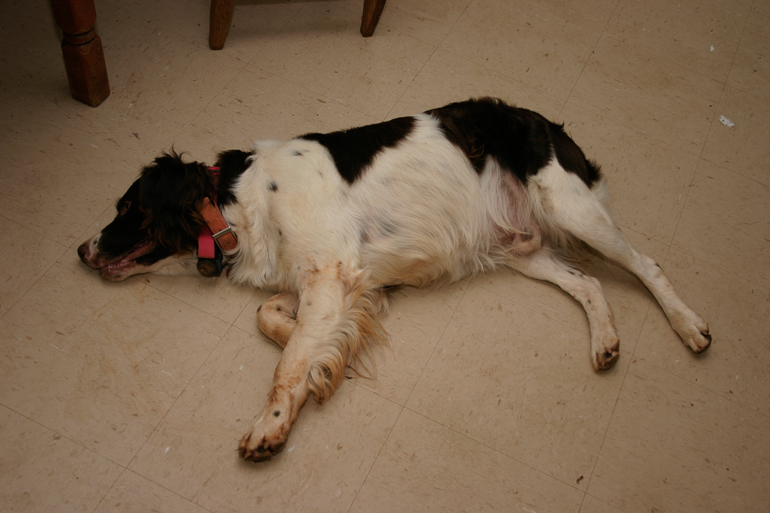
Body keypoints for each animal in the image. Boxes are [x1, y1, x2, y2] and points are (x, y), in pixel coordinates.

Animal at [78, 96, 708, 460]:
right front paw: (328, 366)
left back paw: (690, 326)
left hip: (570, 208)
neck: (239, 200)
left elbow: (285, 368)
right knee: (590, 285)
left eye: (126, 208)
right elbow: (277, 322)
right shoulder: (330, 284)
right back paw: (605, 342)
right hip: (518, 248)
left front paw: (272, 424)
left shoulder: (330, 275)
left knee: (647, 266)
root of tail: (542, 120)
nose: (81, 250)